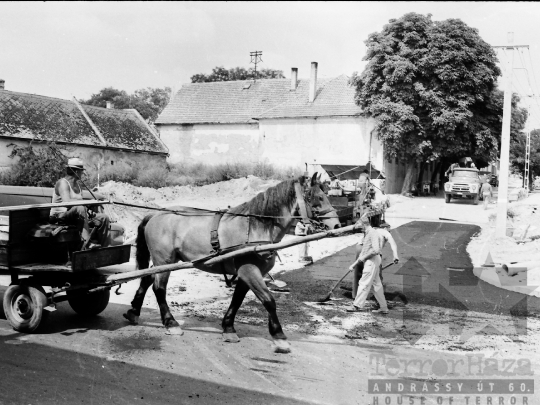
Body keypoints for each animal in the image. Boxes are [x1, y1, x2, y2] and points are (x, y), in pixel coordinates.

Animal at [124, 174, 340, 354]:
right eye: (317, 197)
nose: (337, 224)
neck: (257, 227)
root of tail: (155, 214)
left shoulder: (246, 274)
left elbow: (237, 300)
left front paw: (228, 327)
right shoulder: (249, 270)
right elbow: (269, 300)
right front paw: (279, 336)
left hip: (165, 262)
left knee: (147, 279)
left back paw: (134, 311)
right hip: (164, 260)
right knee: (158, 288)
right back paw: (170, 323)